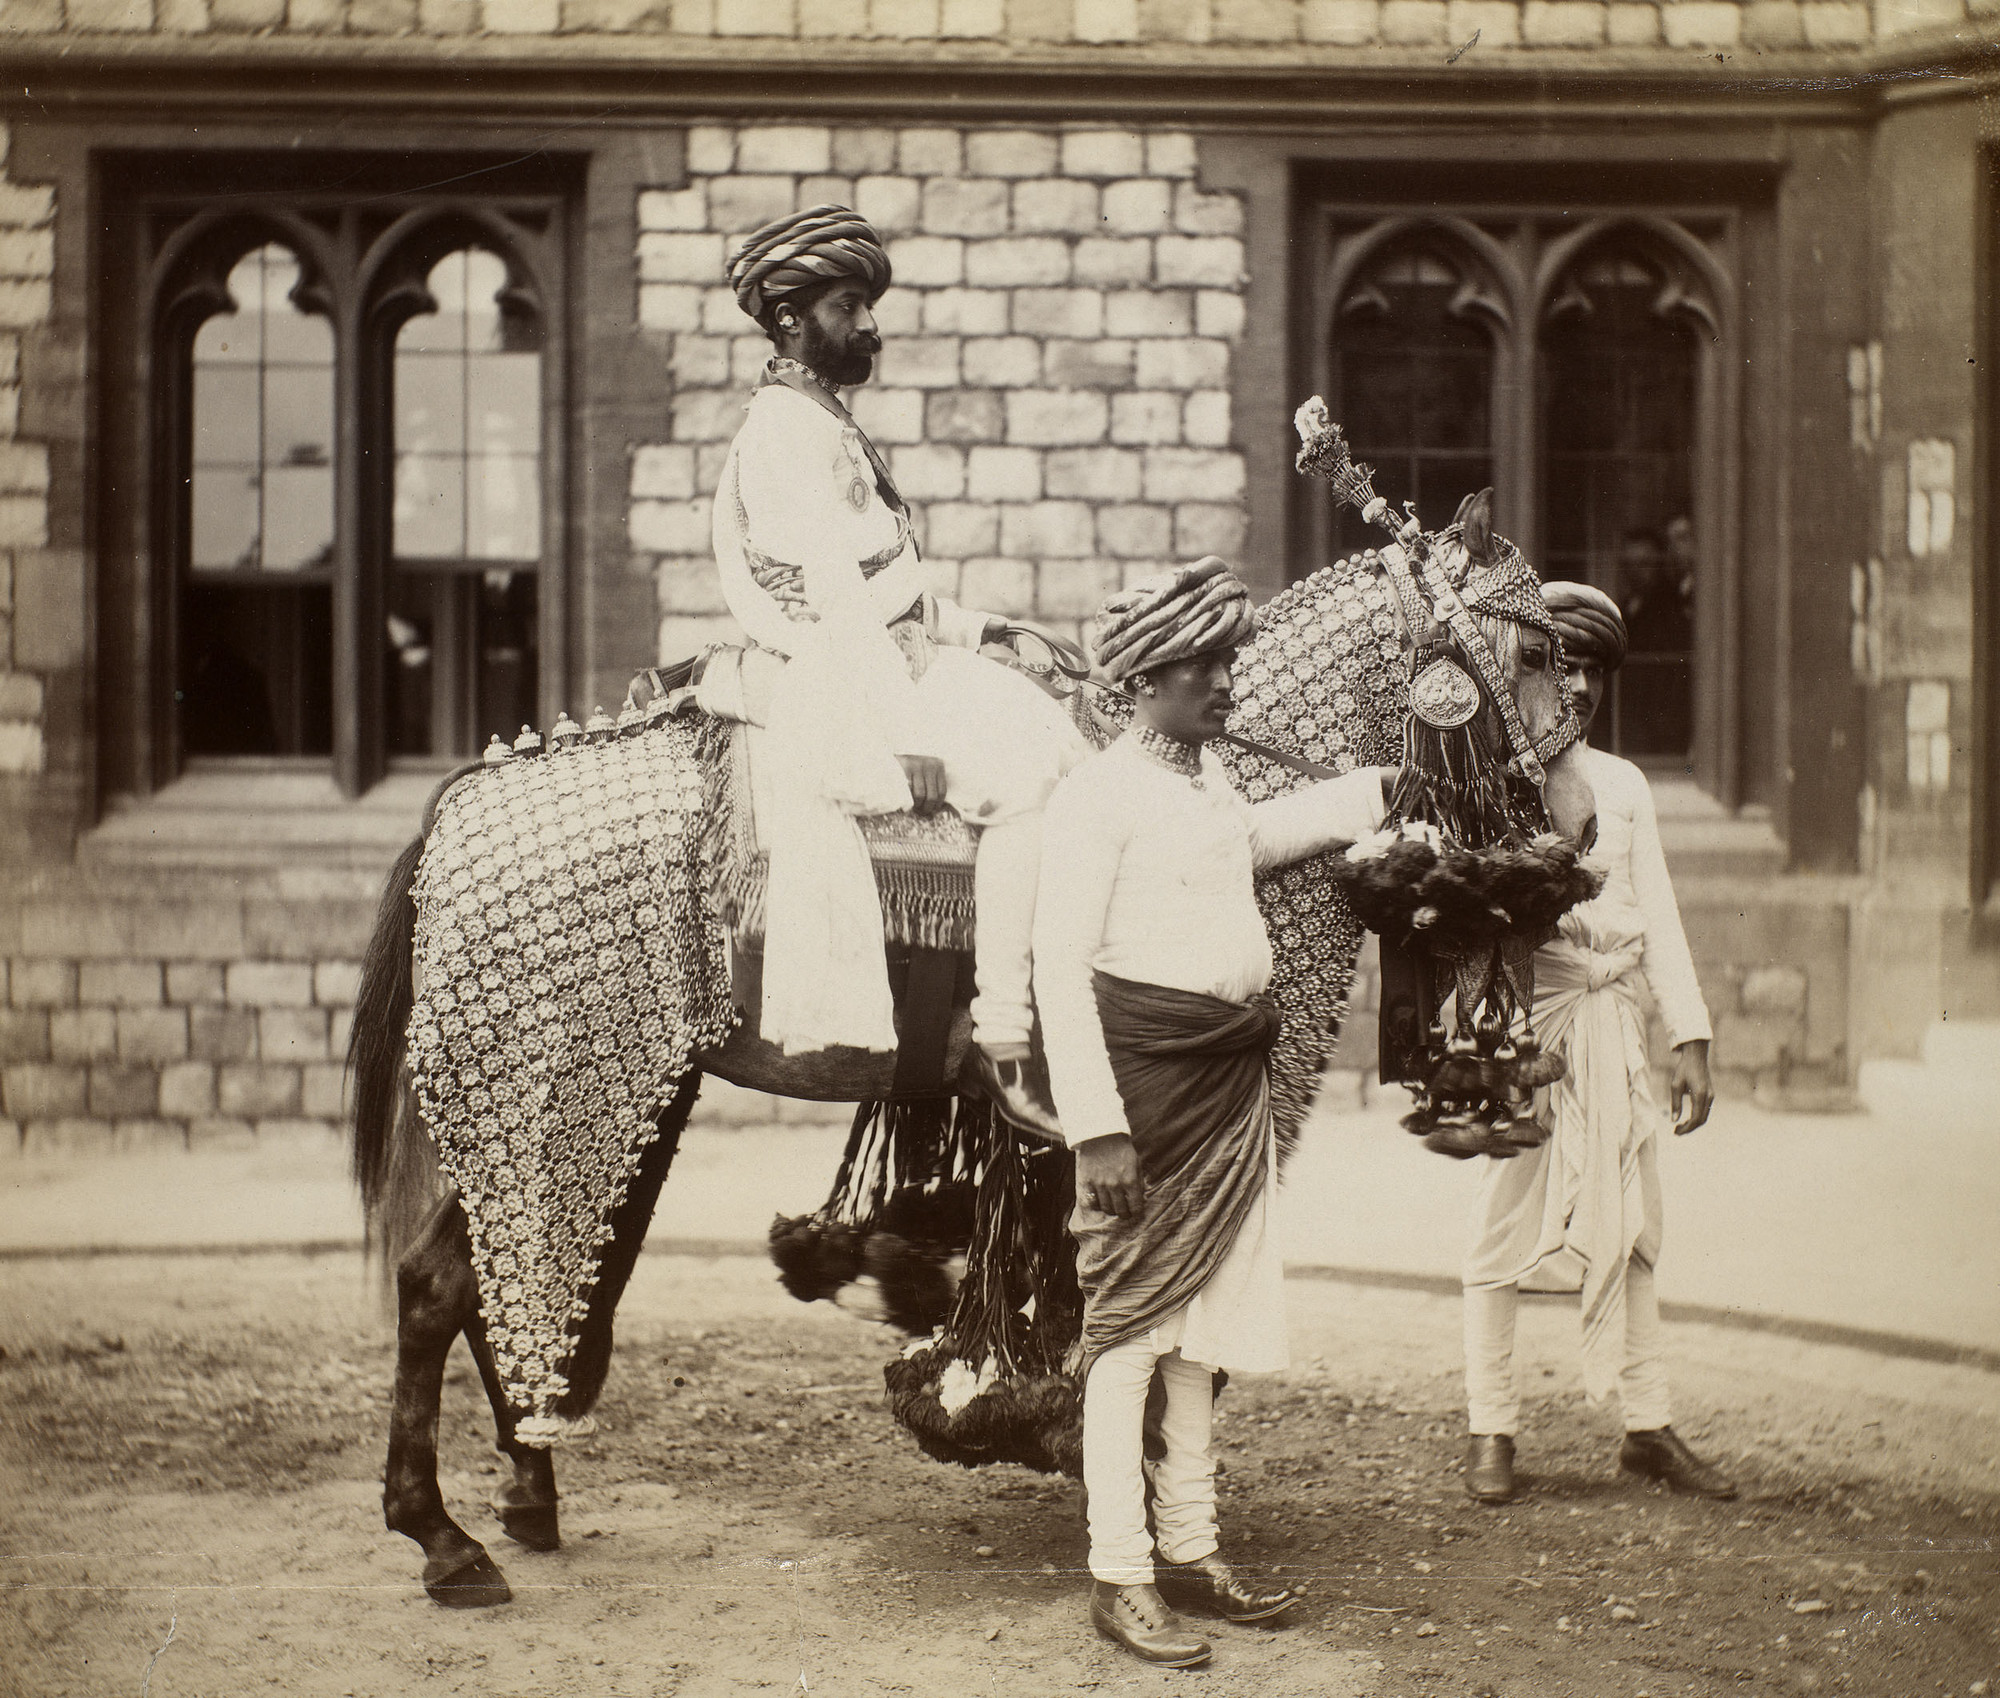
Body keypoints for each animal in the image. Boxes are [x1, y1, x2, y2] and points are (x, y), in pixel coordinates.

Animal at [344, 404, 1592, 1608]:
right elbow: (1138, 1314)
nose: (1578, 823)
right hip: (551, 1082)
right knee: (445, 1285)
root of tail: (465, 798)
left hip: (624, 1086)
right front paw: (1090, 1456)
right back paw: (442, 1536)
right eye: (1534, 648)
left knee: (511, 1284)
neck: (1228, 784)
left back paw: (525, 1490)